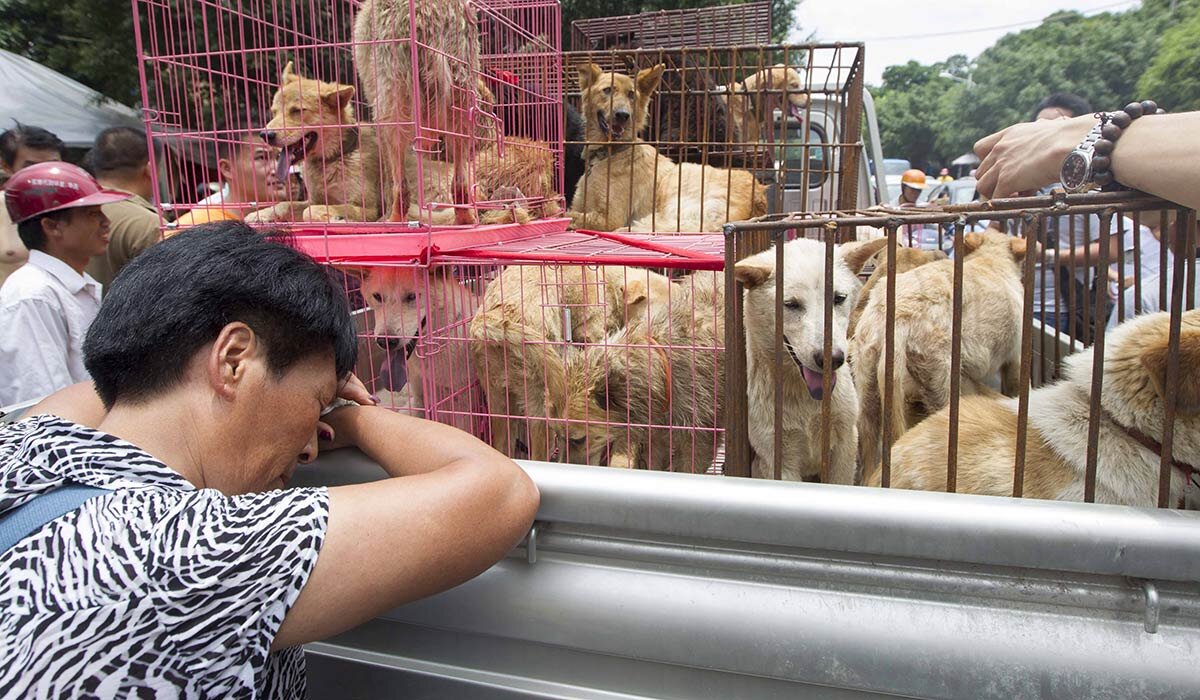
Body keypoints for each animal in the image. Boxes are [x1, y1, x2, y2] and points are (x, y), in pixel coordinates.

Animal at [564, 63, 768, 232]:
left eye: (631, 95)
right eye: (607, 90)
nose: (623, 115)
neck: (608, 153)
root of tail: (758, 197)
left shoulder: (609, 218)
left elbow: (570, 216)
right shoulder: (579, 204)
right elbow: (570, 211)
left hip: (677, 185)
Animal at [724, 237, 888, 485]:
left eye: (839, 298)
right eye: (791, 304)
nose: (832, 359)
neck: (807, 402)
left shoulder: (845, 446)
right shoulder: (778, 458)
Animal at [854, 232, 1032, 480]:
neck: (991, 260)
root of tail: (898, 318)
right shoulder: (1016, 357)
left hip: (867, 375)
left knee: (868, 441)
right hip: (938, 374)